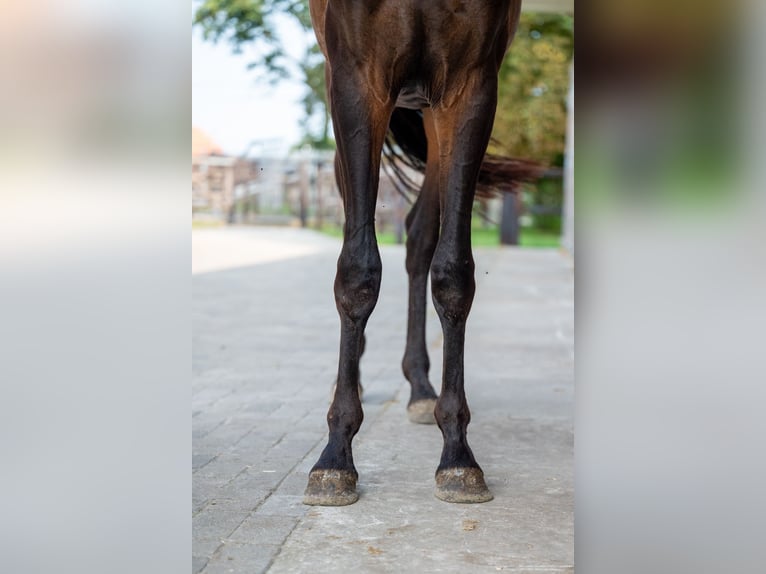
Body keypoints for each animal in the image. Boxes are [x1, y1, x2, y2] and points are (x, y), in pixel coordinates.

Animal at [304, 0, 536, 506]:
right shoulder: (357, 79)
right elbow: (357, 269)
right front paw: (335, 457)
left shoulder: (470, 87)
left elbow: (453, 272)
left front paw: (457, 455)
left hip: (430, 116)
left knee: (419, 239)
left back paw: (420, 386)